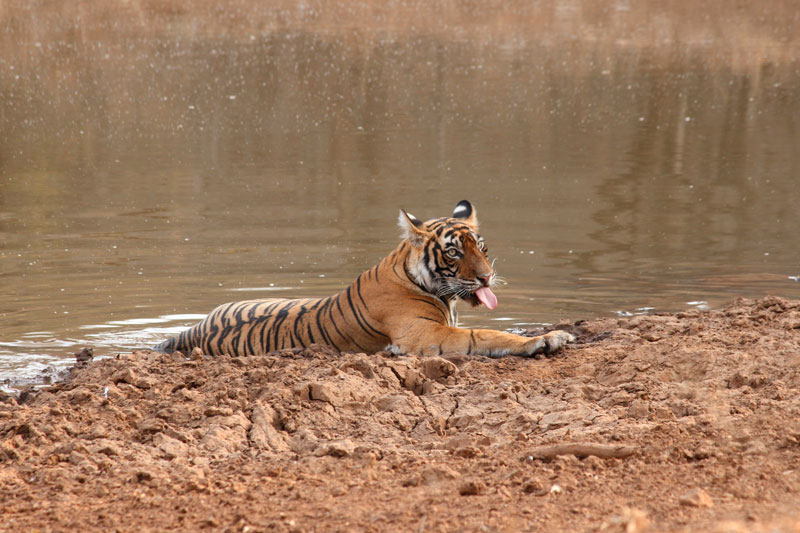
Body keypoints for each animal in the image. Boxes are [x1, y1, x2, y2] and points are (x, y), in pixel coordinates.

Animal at [152, 200, 576, 358]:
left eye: (482, 248)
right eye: (454, 252)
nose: (487, 279)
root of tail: (192, 330)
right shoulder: (425, 335)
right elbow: (487, 336)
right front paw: (547, 339)